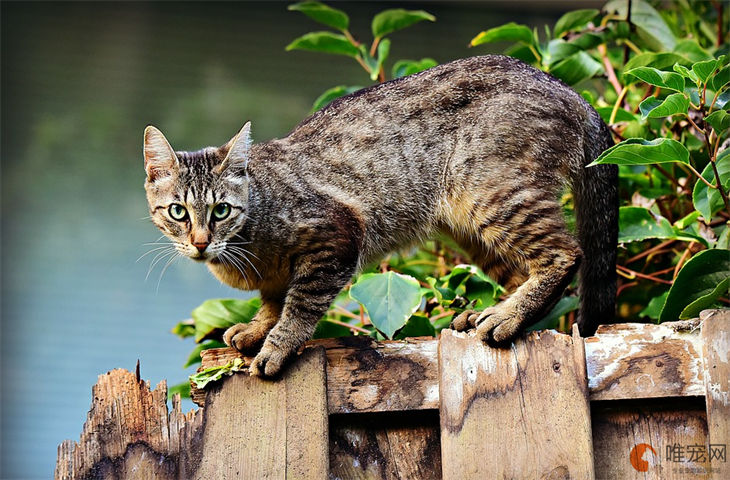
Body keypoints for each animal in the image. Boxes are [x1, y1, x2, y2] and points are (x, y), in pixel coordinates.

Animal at [145, 56, 616, 376]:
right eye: (178, 212)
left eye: (221, 210)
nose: (201, 242)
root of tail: (572, 93)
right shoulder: (277, 275)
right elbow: (273, 300)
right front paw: (257, 327)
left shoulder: (337, 237)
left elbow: (299, 305)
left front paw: (276, 345)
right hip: (469, 226)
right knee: (520, 272)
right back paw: (488, 314)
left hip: (491, 194)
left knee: (565, 254)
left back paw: (506, 317)